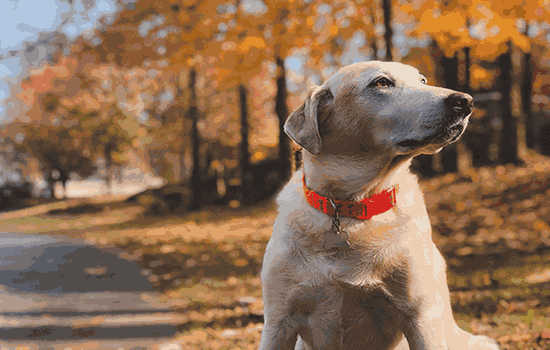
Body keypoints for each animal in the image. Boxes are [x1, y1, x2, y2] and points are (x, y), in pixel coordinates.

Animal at [258, 61, 500, 348]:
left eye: (422, 80)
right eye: (382, 83)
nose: (465, 101)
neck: (351, 205)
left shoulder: (421, 316)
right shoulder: (279, 321)